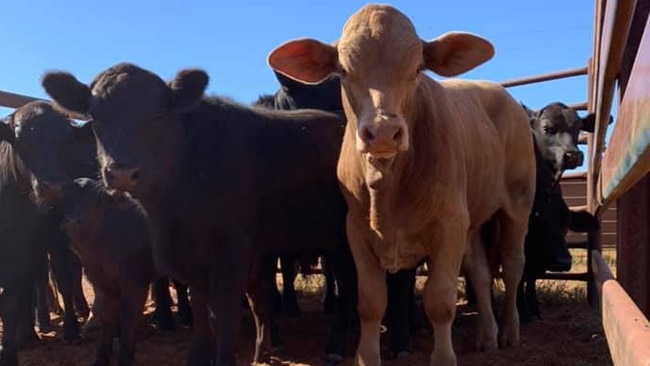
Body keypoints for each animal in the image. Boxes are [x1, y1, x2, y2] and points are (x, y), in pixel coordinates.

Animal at [42, 63, 352, 366]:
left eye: (159, 114)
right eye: (95, 117)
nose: (122, 172)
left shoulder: (232, 251)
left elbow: (223, 315)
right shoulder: (192, 259)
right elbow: (201, 312)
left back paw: (337, 347)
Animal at [266, 3, 536, 366]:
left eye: (419, 67)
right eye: (343, 70)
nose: (383, 132)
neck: (388, 187)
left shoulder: (449, 225)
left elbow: (440, 301)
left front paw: (443, 358)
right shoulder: (356, 231)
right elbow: (370, 302)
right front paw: (367, 356)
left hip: (518, 204)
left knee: (512, 265)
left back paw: (508, 331)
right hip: (473, 218)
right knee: (480, 270)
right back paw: (487, 335)